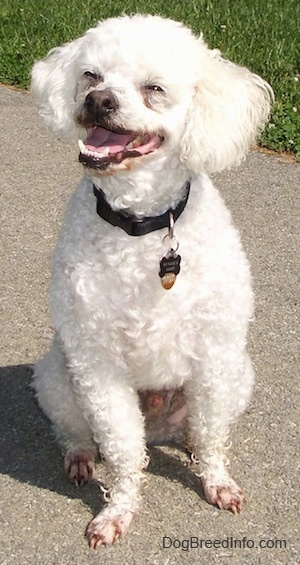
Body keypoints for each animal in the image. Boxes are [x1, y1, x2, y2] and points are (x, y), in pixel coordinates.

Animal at [31, 13, 274, 548]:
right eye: (91, 76)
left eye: (154, 88)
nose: (98, 101)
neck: (141, 225)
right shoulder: (98, 366)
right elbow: (123, 450)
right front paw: (118, 511)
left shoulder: (216, 355)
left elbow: (212, 434)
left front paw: (216, 482)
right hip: (57, 377)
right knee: (77, 433)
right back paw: (80, 458)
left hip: (240, 375)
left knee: (201, 430)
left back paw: (189, 448)